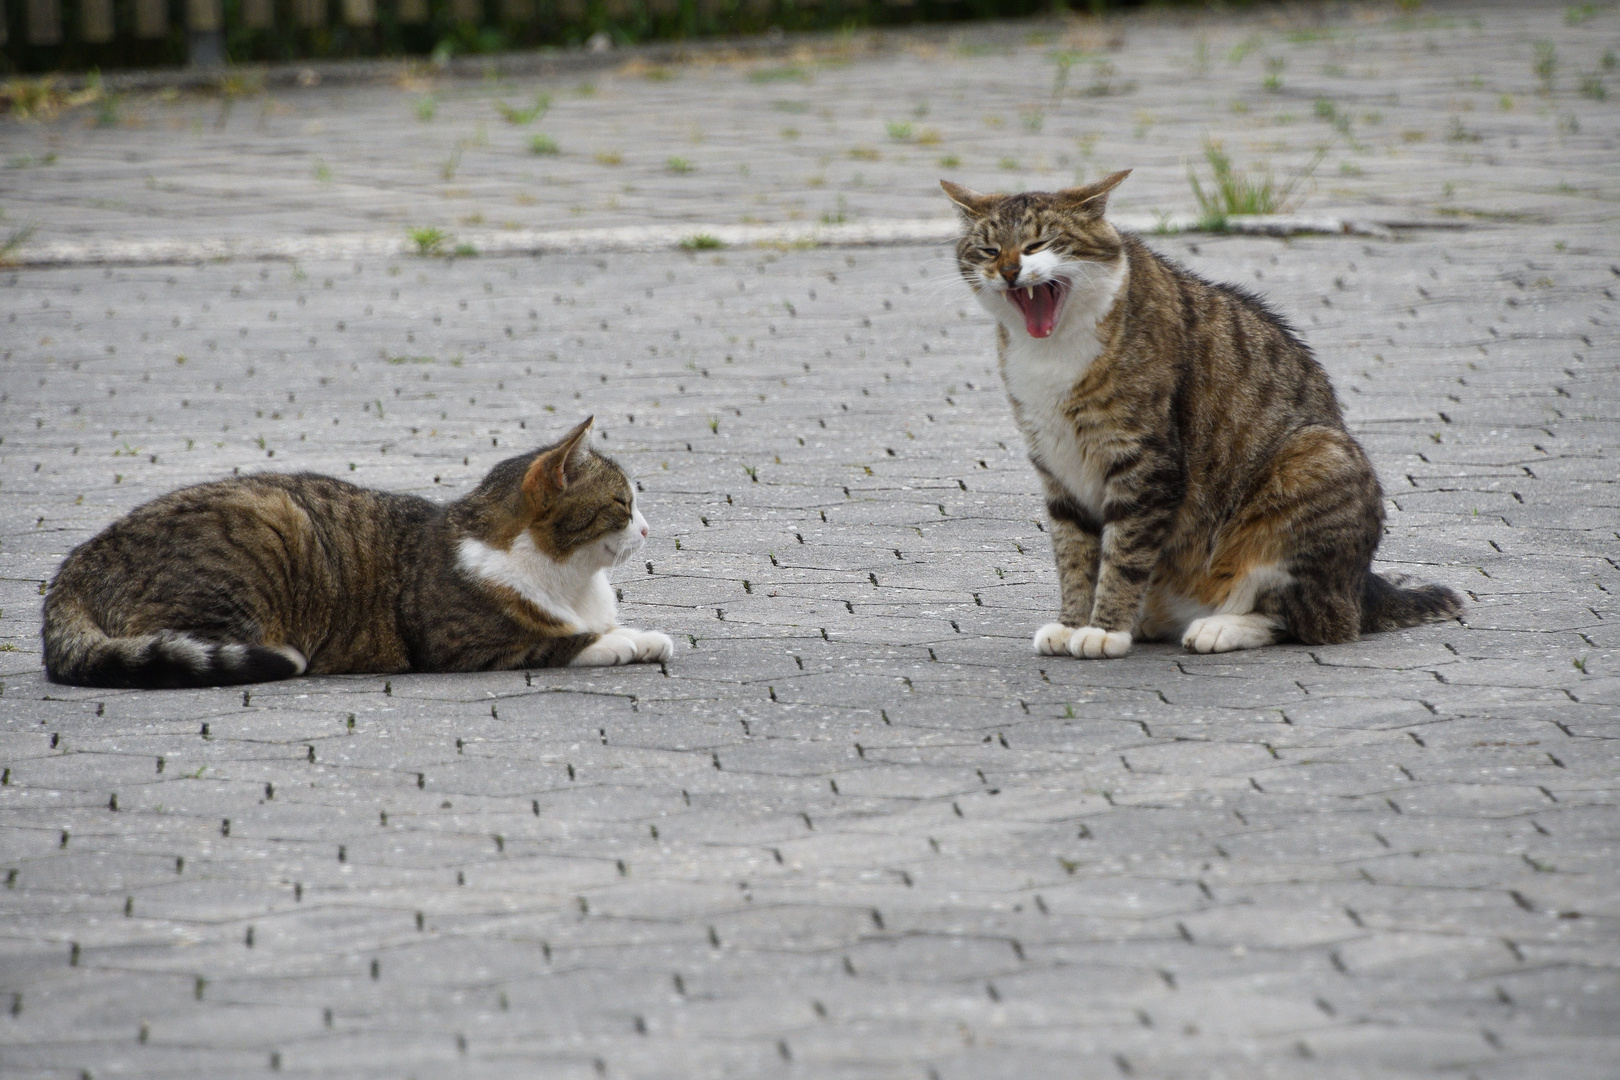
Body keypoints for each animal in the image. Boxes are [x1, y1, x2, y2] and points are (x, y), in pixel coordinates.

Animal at [45, 417, 670, 689]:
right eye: (623, 502)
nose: (648, 529)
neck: (573, 580)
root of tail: (79, 558)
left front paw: (635, 634)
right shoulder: (467, 644)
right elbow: (562, 640)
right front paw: (624, 640)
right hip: (263, 535)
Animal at [946, 170, 1464, 660]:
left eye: (1038, 244)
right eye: (990, 249)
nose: (1010, 270)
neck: (1051, 353)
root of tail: (1363, 585)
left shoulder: (1145, 462)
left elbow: (1124, 555)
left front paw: (1104, 630)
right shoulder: (1057, 468)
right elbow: (1074, 556)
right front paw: (1074, 623)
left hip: (1319, 457)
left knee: (1315, 621)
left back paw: (1221, 627)